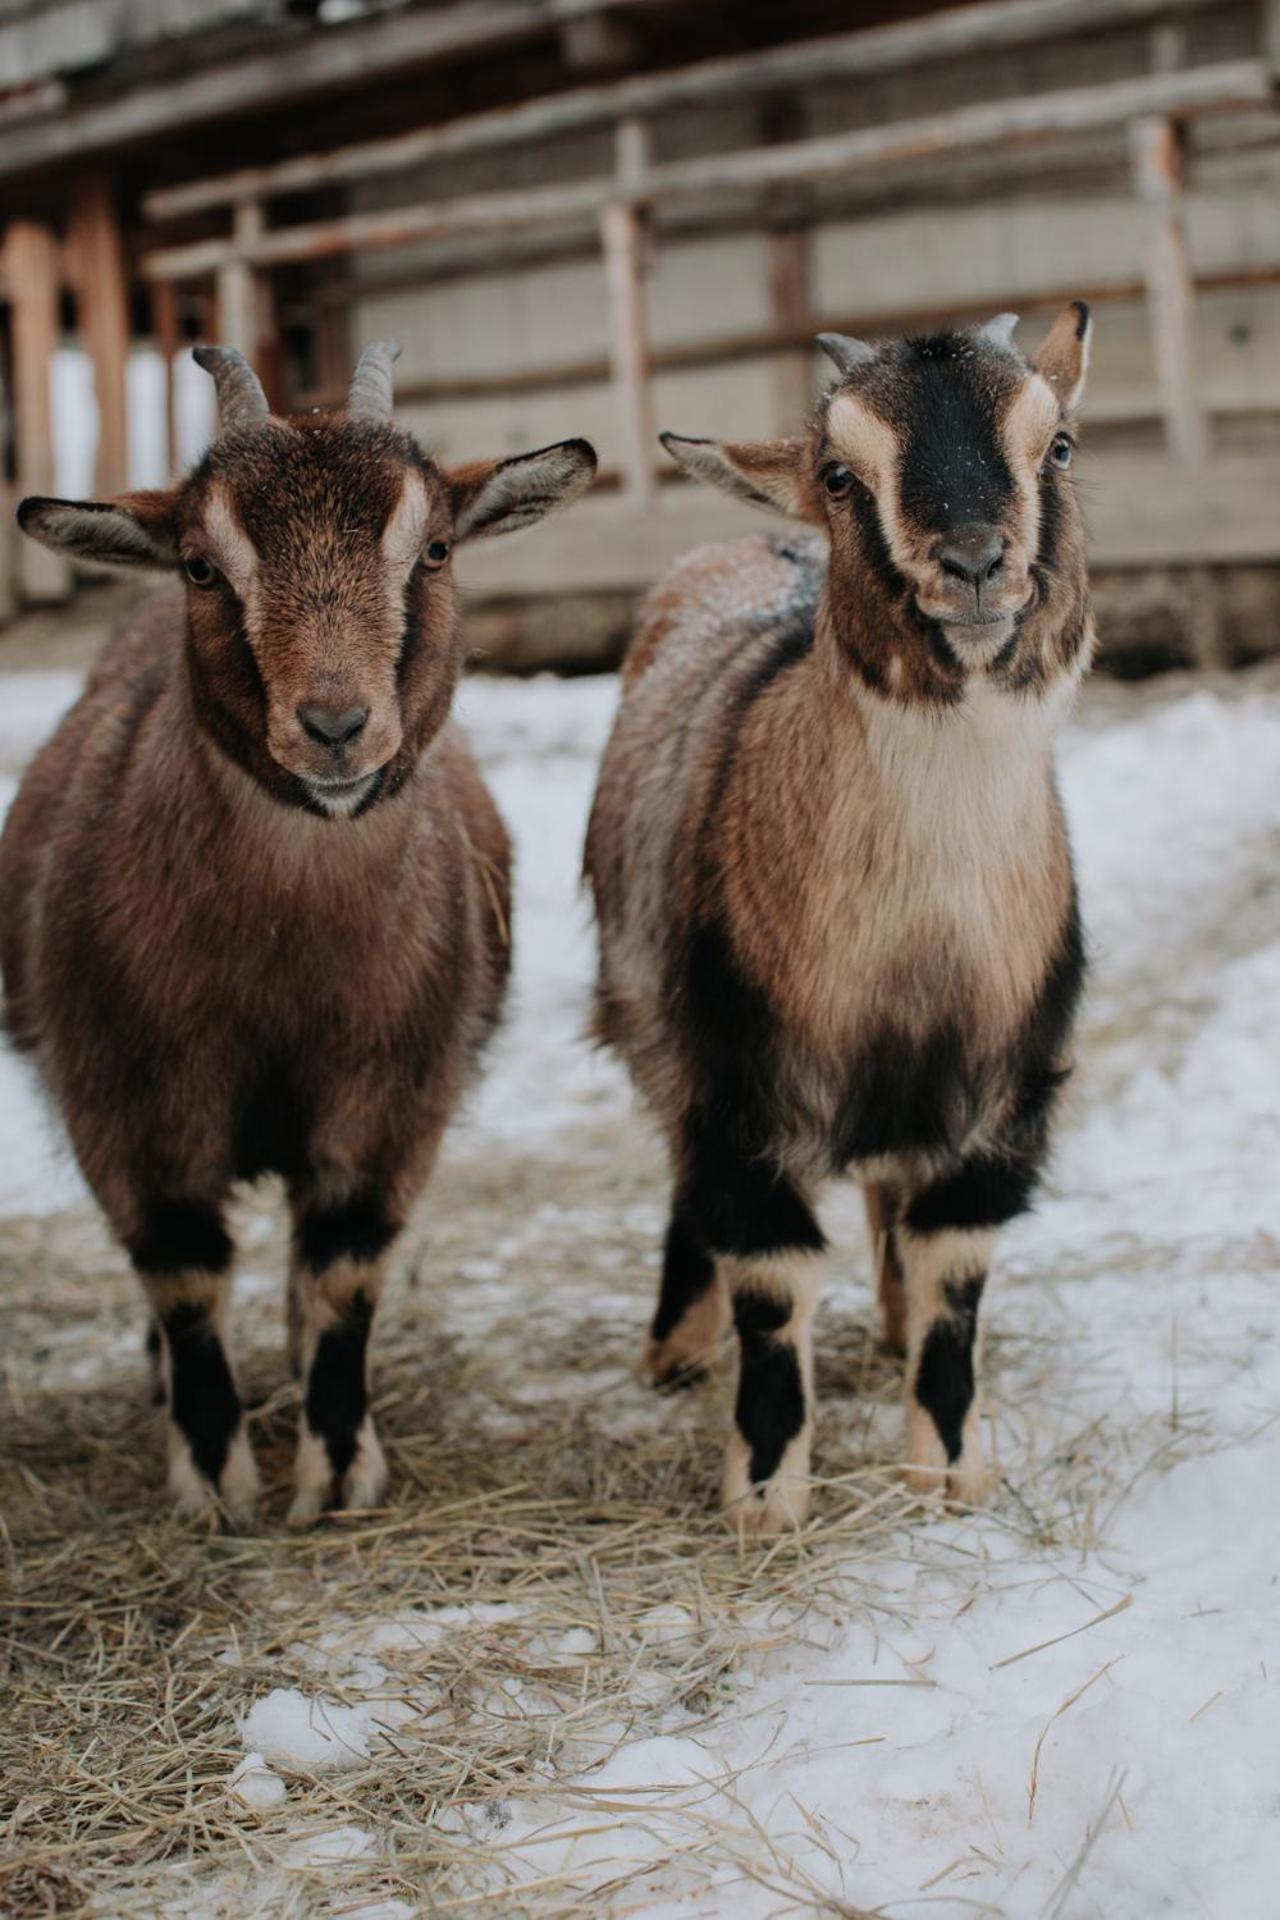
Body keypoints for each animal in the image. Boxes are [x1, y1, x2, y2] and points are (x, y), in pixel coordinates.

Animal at [2, 337, 594, 1520]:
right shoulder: (124, 1107)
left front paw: (335, 1467)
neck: (286, 973)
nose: (334, 727)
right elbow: (181, 1274)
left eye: (436, 548)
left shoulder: (393, 1099)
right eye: (199, 564)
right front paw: (214, 1478)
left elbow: (345, 1270)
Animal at [587, 303, 1097, 1528]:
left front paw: (950, 1467)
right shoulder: (732, 1085)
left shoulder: (1002, 1086)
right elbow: (772, 1288)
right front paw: (766, 1498)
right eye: (836, 473)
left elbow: (956, 1273)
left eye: (1057, 446)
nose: (974, 563)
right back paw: (675, 1347)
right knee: (688, 1186)